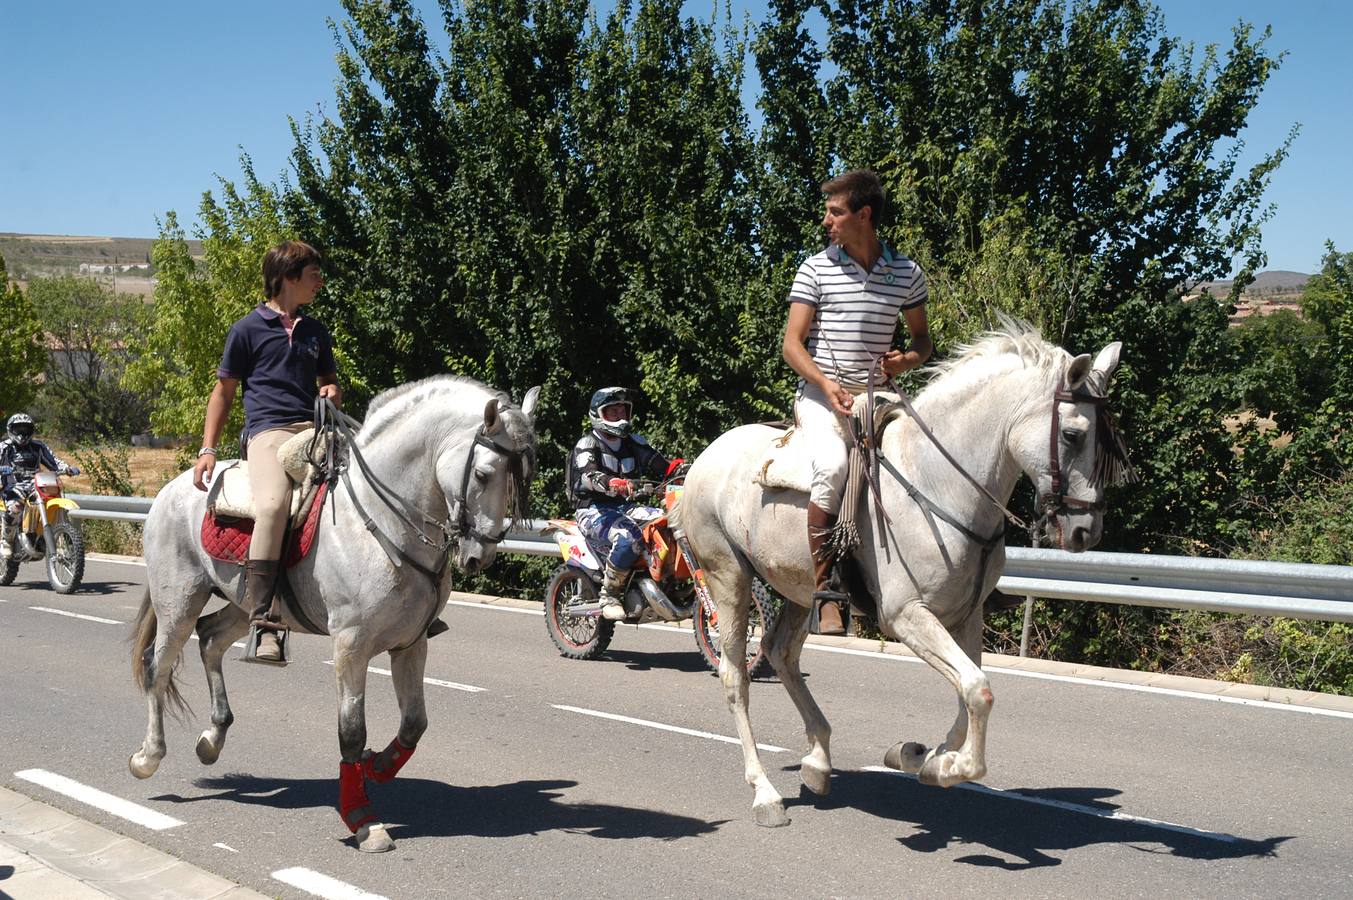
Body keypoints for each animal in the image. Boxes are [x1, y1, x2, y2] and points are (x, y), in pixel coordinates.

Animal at [127, 373, 538, 849]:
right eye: (484, 473)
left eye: (521, 478)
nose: (479, 556)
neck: (380, 521)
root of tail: (172, 489)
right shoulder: (350, 645)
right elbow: (351, 730)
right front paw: (362, 819)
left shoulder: (410, 644)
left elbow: (414, 724)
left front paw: (377, 765)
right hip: (178, 601)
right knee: (158, 666)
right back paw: (148, 756)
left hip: (243, 604)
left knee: (210, 638)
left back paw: (212, 738)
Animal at [676, 326, 1131, 822]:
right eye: (1072, 434)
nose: (1086, 531)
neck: (937, 483)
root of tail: (704, 458)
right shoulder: (907, 615)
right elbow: (978, 689)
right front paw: (947, 766)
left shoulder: (966, 614)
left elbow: (968, 690)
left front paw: (921, 756)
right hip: (729, 579)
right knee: (735, 676)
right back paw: (765, 793)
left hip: (800, 589)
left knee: (781, 652)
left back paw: (818, 762)